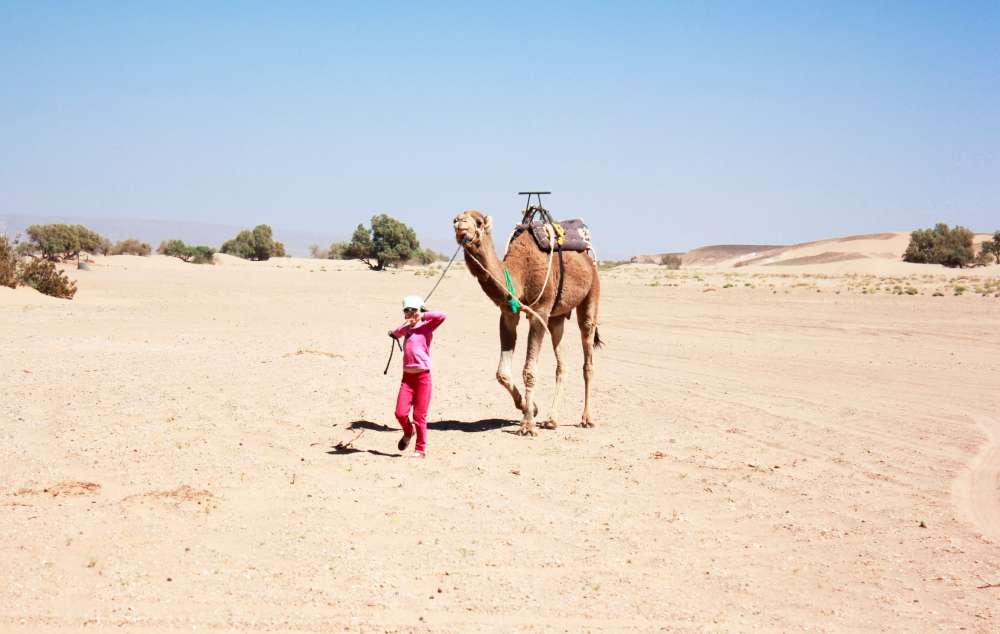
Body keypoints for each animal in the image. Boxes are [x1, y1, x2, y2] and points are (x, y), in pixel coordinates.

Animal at [454, 209, 600, 434]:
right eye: (455, 219)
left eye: (477, 222)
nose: (460, 224)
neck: (519, 275)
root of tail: (587, 259)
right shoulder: (508, 313)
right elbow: (502, 373)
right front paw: (530, 408)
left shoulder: (539, 312)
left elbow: (529, 370)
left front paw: (528, 424)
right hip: (556, 318)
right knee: (562, 363)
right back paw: (552, 420)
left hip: (591, 293)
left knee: (588, 358)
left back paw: (587, 418)